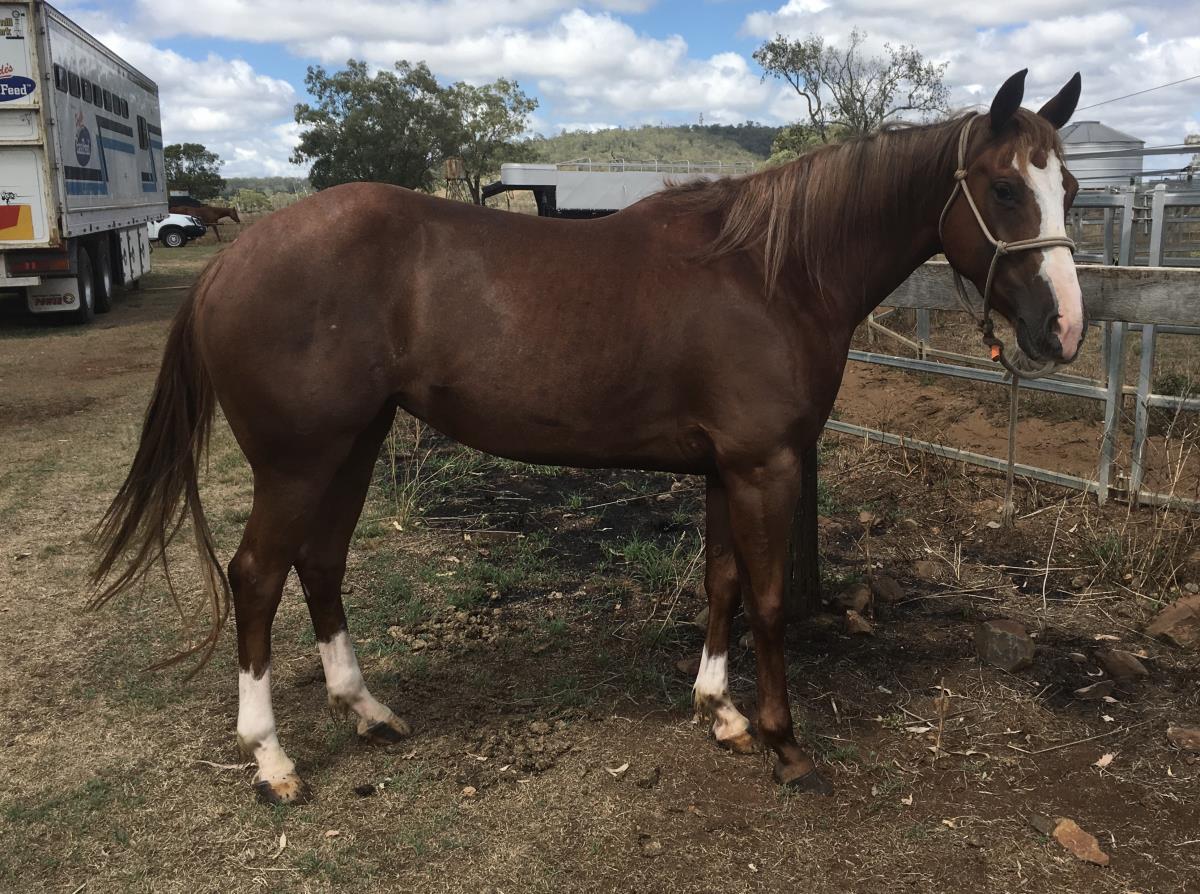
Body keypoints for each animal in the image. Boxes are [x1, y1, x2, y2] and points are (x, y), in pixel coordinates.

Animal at [94, 70, 1085, 805]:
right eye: (1004, 187)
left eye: (1068, 189)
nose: (1062, 331)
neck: (772, 273)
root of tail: (230, 257)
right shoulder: (765, 466)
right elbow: (767, 601)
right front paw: (785, 744)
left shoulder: (725, 467)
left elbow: (721, 583)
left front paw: (719, 713)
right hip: (299, 460)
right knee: (258, 577)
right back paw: (271, 760)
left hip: (354, 445)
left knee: (321, 561)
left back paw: (366, 710)